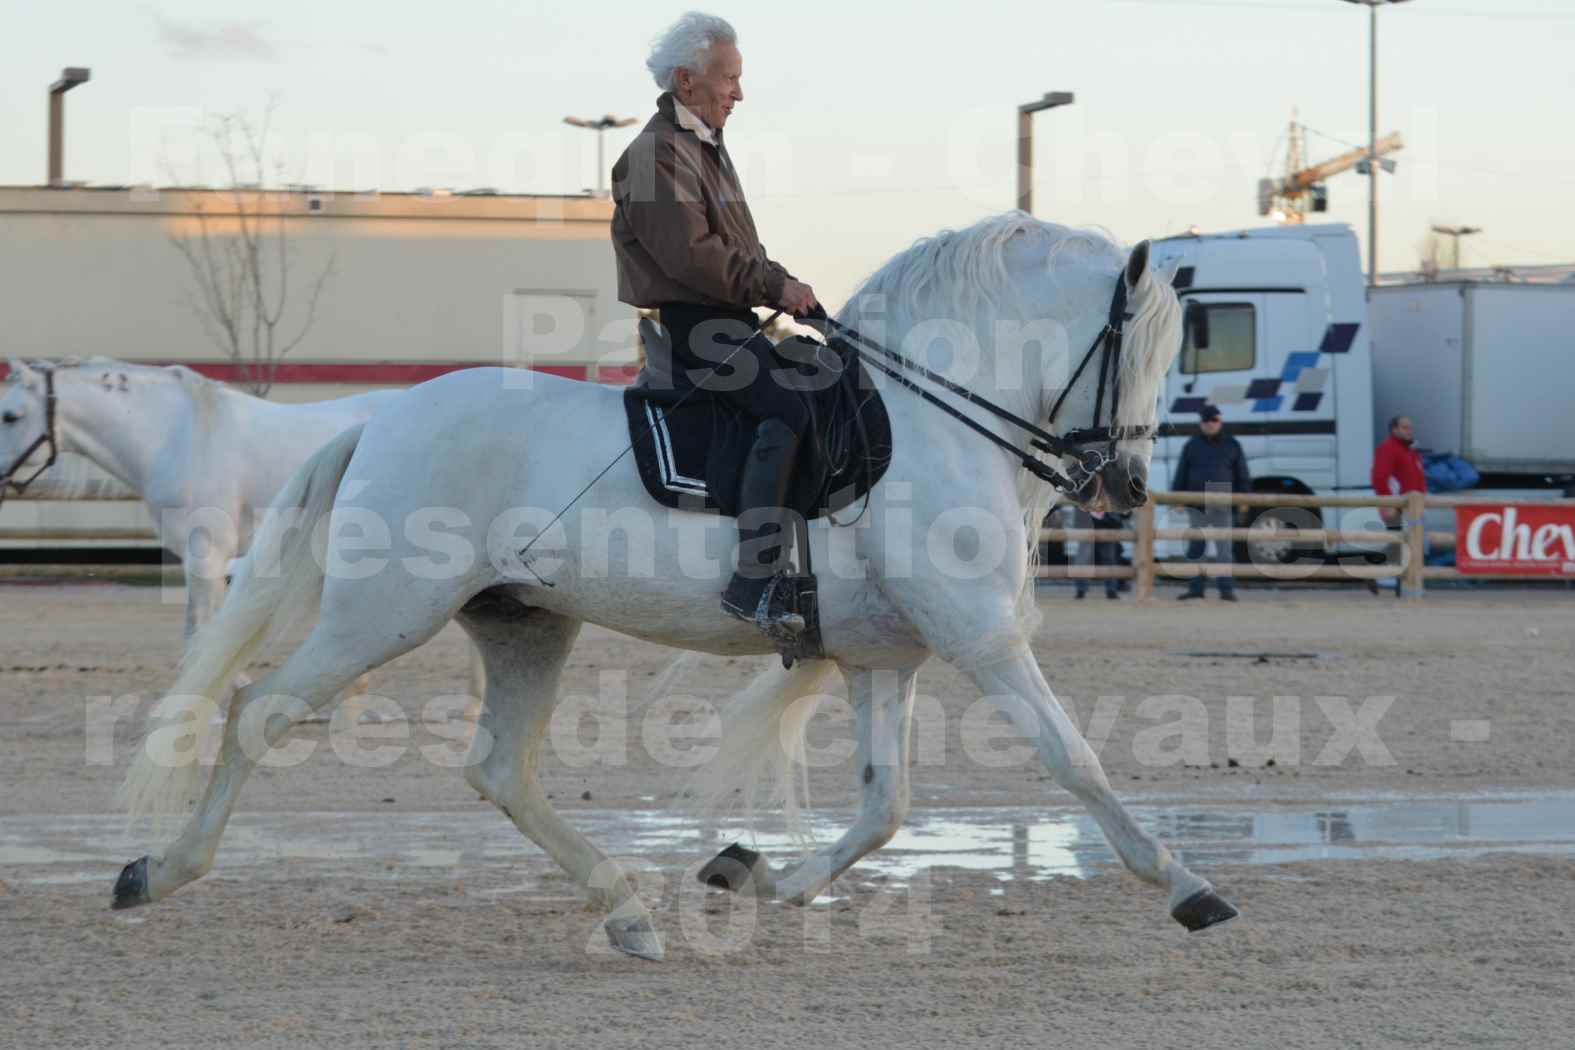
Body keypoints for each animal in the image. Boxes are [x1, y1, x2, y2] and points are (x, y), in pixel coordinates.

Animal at [116, 214, 1234, 963]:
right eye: (1132, 352)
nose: (1125, 487)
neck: (930, 422)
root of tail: (383, 420)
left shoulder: (885, 658)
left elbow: (886, 807)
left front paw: (756, 875)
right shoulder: (983, 641)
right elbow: (1075, 759)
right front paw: (1187, 886)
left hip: (522, 626)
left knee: (501, 770)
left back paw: (630, 912)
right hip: (381, 616)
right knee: (259, 712)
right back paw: (157, 872)